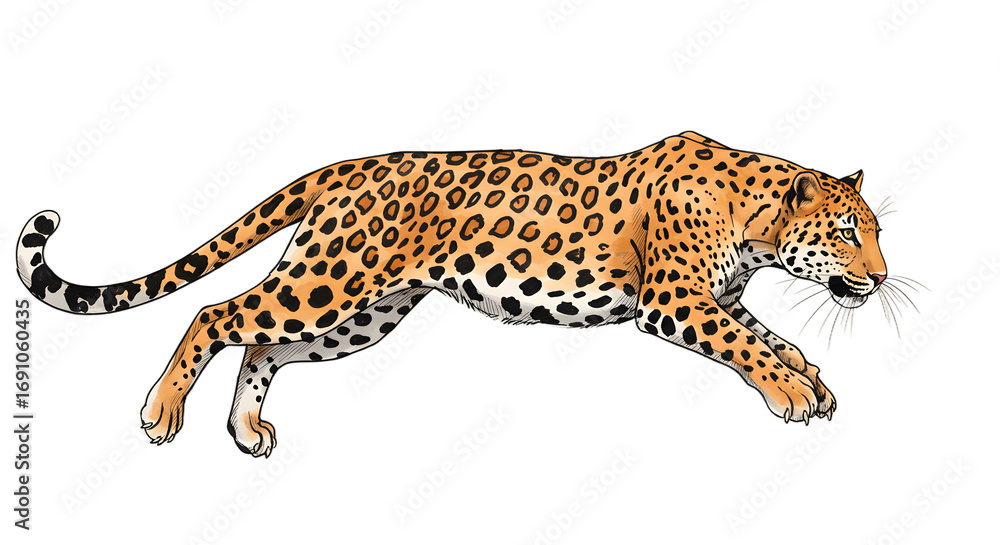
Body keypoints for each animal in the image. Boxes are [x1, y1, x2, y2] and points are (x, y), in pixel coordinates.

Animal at [16, 131, 887, 457]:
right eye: (850, 232)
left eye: (874, 231)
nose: (880, 277)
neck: (756, 221)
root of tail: (348, 166)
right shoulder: (676, 302)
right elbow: (749, 346)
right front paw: (792, 394)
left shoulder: (720, 298)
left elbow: (775, 337)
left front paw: (812, 381)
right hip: (332, 281)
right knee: (216, 312)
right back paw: (160, 412)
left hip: (358, 311)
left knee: (260, 340)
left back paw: (246, 428)